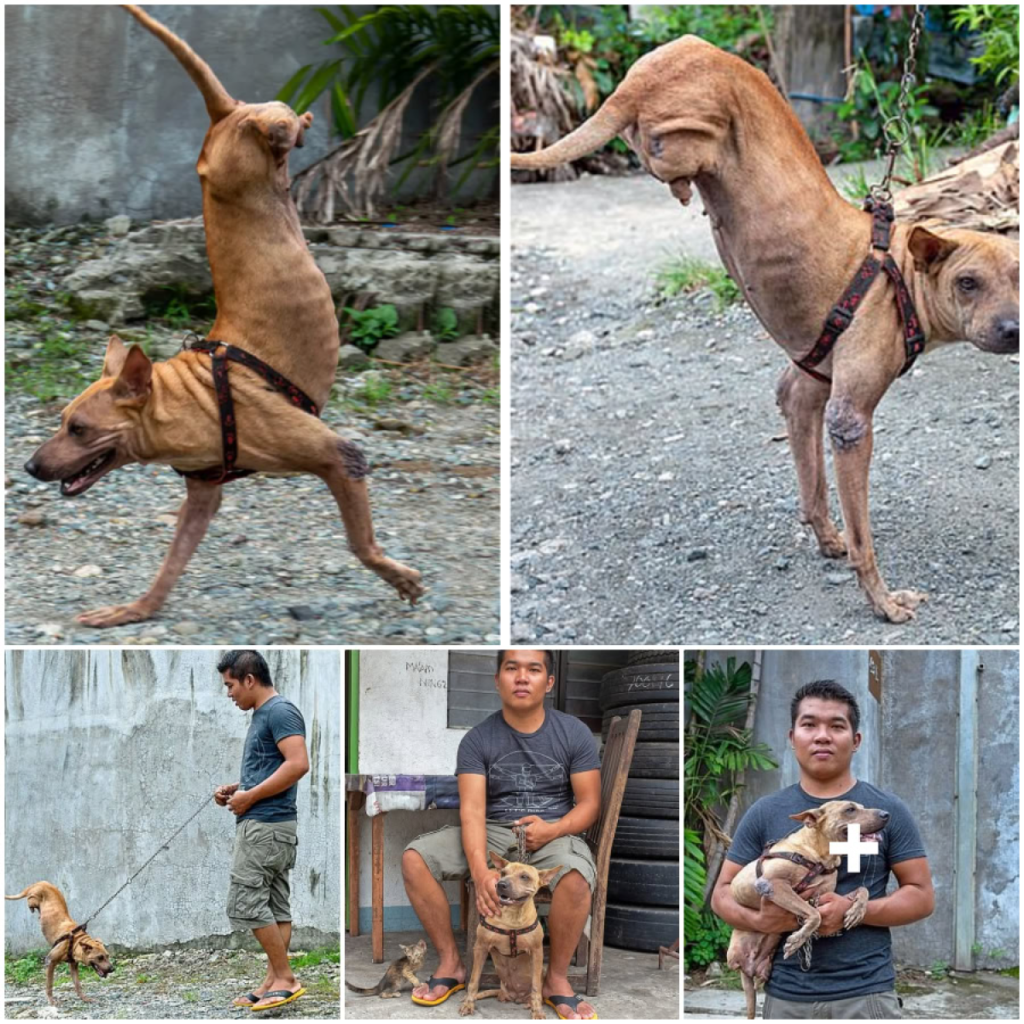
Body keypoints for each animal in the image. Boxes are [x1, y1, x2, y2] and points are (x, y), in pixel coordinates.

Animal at [24, 4, 423, 626]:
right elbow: (169, 567)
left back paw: (297, 122)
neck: (194, 402)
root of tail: (225, 115)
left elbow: (361, 543)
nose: (30, 467)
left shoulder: (340, 457)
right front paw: (133, 610)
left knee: (279, 121)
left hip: (255, 137)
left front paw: (398, 576)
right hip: (235, 156)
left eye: (78, 428)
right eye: (62, 420)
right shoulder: (203, 494)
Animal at [462, 851, 565, 1019]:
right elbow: (473, 980)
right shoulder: (480, 947)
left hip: (541, 969)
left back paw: (530, 1003)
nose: (501, 884)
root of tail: (515, 997)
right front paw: (468, 1004)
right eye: (503, 873)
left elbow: (536, 987)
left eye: (524, 876)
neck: (512, 917)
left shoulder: (537, 952)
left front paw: (537, 1011)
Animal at [512, 34, 1015, 622]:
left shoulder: (804, 390)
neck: (902, 276)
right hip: (699, 129)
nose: (1012, 330)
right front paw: (883, 600)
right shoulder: (849, 421)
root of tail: (643, 77)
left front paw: (827, 538)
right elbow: (864, 537)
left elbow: (812, 489)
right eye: (968, 283)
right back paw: (681, 184)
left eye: (1019, 278)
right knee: (662, 154)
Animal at [724, 798, 884, 1015]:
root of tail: (747, 969)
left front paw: (856, 911)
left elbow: (862, 889)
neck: (818, 855)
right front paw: (797, 940)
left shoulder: (823, 896)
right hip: (733, 953)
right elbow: (814, 914)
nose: (886, 814)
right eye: (850, 809)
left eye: (862, 806)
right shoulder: (773, 884)